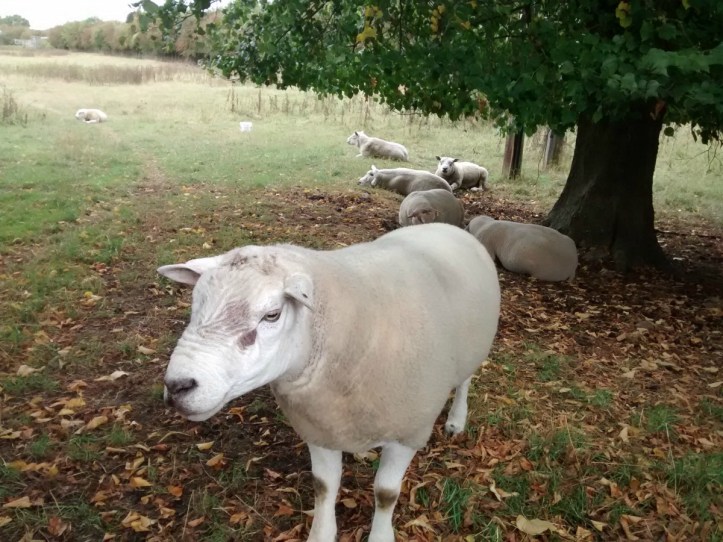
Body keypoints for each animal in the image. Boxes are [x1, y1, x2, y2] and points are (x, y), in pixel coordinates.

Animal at [158, 223, 500, 542]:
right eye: (195, 305)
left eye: (272, 314)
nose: (177, 385)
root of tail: (447, 225)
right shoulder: (318, 426)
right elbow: (323, 486)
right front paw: (321, 533)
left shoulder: (408, 432)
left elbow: (386, 494)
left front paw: (380, 534)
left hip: (474, 346)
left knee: (465, 381)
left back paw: (456, 420)